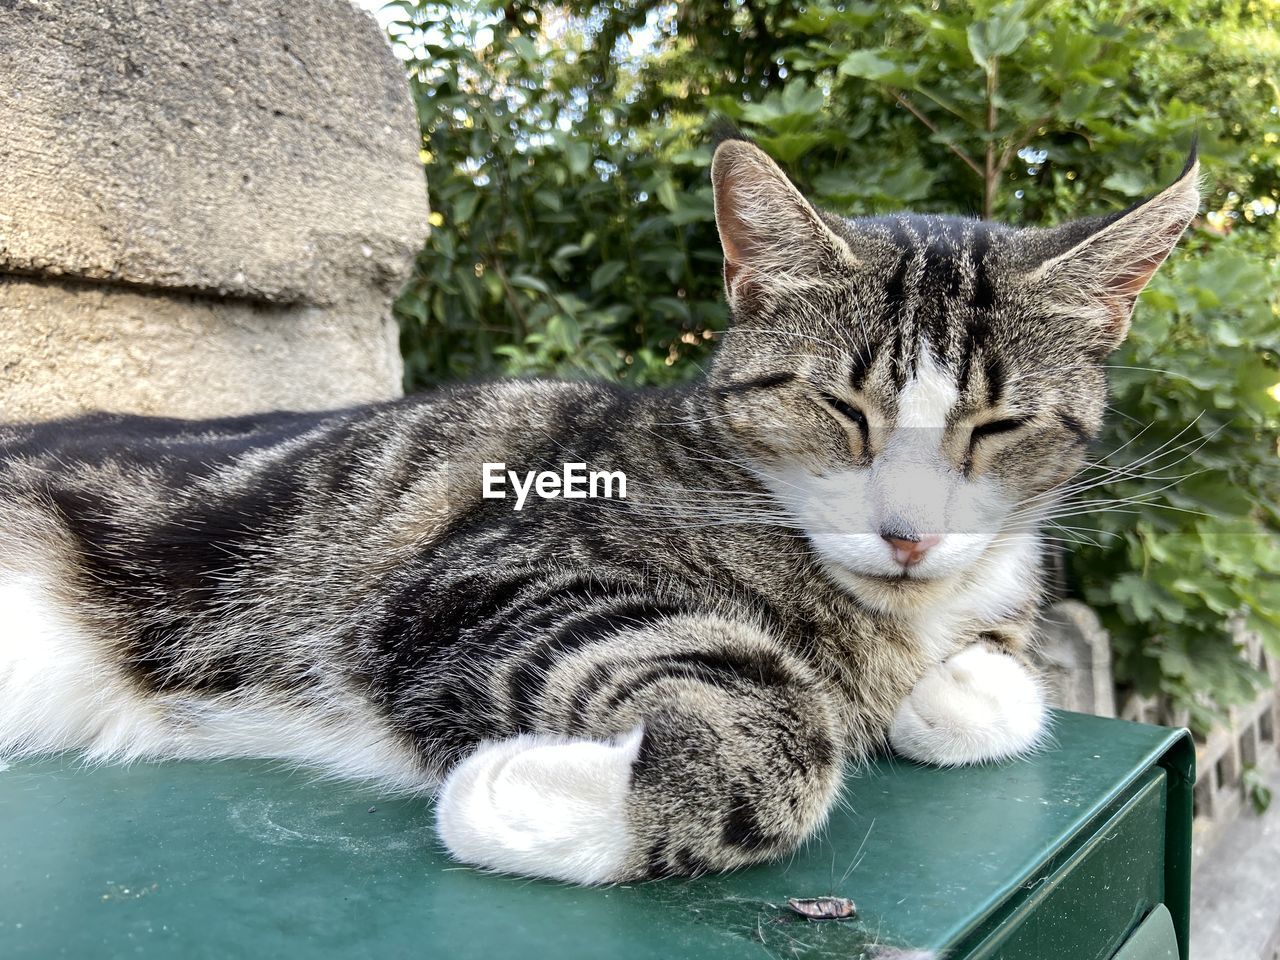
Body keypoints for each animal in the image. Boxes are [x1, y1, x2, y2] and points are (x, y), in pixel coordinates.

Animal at [0, 136, 1198, 885]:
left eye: (998, 426)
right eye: (840, 407)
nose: (909, 532)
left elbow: (996, 683)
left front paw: (948, 689)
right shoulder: (483, 569)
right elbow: (784, 713)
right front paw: (537, 801)